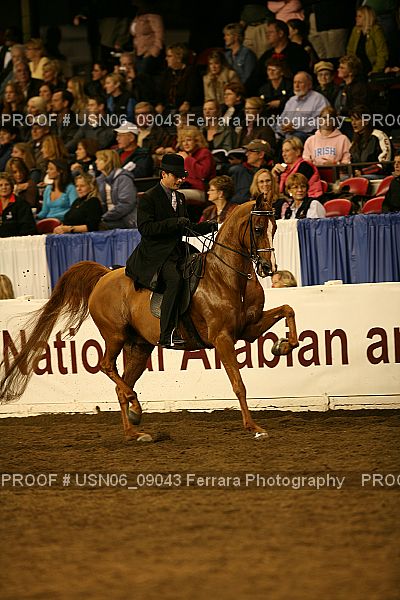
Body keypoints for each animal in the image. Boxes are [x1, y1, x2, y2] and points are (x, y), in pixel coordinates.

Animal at [0, 192, 299, 441]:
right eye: (258, 229)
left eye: (274, 228)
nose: (268, 267)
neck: (226, 277)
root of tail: (104, 276)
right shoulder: (222, 338)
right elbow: (238, 384)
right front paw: (254, 427)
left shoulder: (248, 329)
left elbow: (288, 309)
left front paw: (282, 345)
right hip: (115, 336)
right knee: (107, 367)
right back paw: (136, 407)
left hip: (140, 347)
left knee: (122, 384)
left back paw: (134, 429)